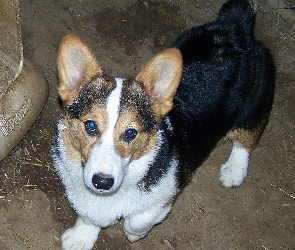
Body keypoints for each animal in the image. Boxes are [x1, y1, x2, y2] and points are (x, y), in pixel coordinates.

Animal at [51, 0, 276, 248]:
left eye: (131, 133)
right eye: (91, 126)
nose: (102, 182)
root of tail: (235, 27)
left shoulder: (166, 193)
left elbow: (139, 219)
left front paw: (134, 234)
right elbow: (88, 215)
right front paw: (81, 237)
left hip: (253, 108)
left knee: (247, 139)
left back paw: (234, 169)